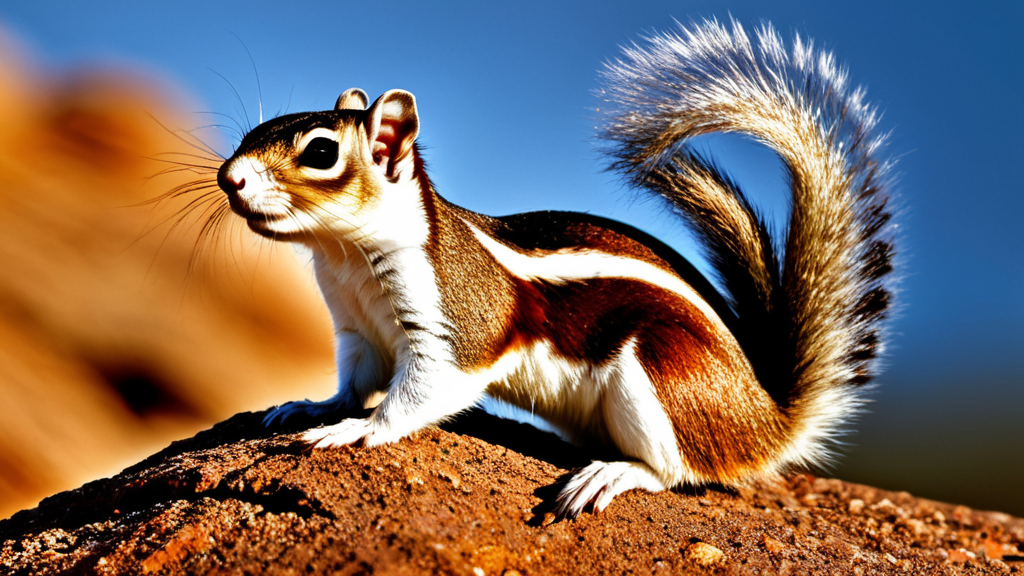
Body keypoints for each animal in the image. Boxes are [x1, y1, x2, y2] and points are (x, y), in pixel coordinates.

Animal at [215, 20, 896, 518]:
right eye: (254, 132)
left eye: (321, 152)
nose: (229, 177)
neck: (345, 257)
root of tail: (767, 420)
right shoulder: (357, 333)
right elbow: (352, 383)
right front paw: (311, 408)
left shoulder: (454, 328)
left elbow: (417, 394)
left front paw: (356, 432)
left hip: (658, 371)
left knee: (678, 469)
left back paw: (612, 474)